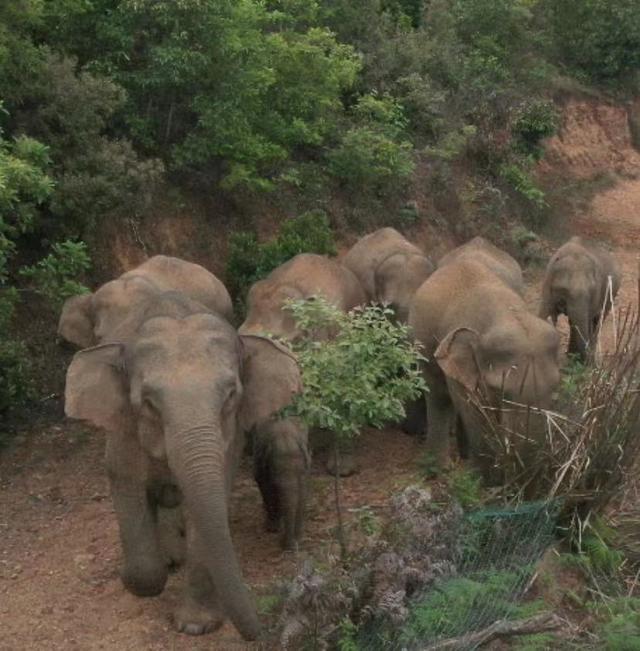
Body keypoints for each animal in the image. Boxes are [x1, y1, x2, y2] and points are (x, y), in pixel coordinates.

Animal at [64, 292, 302, 640]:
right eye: (148, 402)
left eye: (231, 395)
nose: (263, 629)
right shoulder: (123, 433)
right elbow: (130, 494)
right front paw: (133, 580)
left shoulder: (229, 440)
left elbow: (206, 512)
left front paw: (195, 625)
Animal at [251, 418, 308, 552]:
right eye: (276, 476)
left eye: (301, 471)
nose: (291, 546)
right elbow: (267, 489)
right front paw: (273, 529)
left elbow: (302, 492)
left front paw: (297, 537)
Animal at [410, 250, 560, 478]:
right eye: (499, 390)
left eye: (555, 387)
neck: (507, 315)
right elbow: (474, 413)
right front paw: (486, 479)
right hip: (422, 342)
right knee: (438, 397)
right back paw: (441, 469)